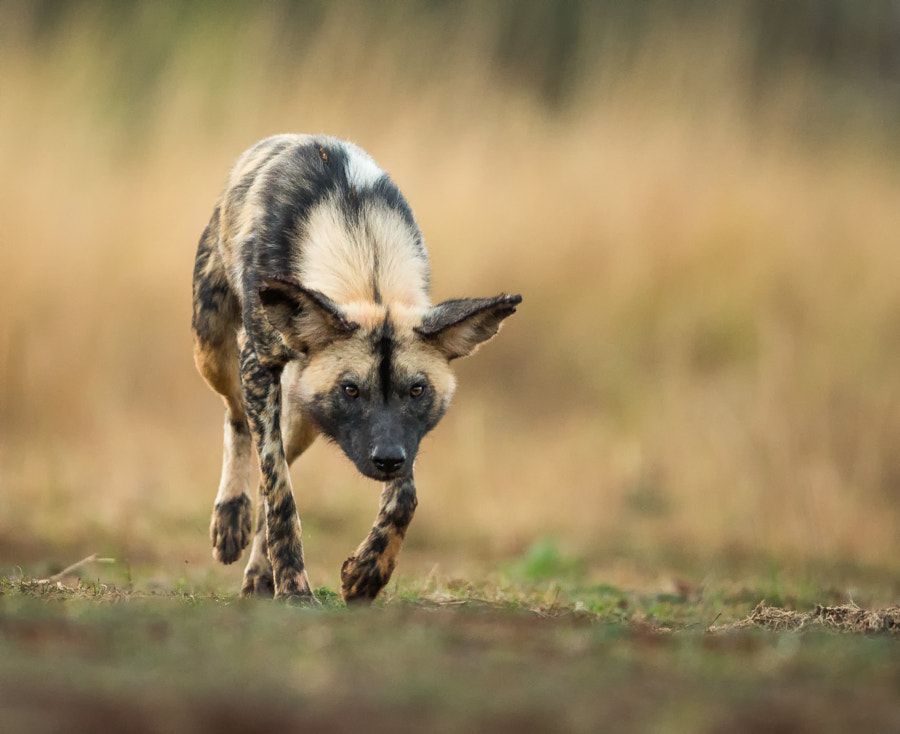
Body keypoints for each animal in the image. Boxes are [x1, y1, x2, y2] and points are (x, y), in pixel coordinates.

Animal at [192, 137, 520, 604]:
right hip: (217, 354)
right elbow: (281, 499)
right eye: (350, 390)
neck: (366, 261)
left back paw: (258, 575)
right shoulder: (257, 365)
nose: (385, 460)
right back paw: (230, 518)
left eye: (417, 391)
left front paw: (367, 573)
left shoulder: (404, 436)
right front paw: (295, 590)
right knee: (238, 421)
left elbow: (404, 498)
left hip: (302, 417)